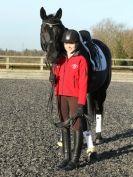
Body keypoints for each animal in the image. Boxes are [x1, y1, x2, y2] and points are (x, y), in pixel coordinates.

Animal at [40, 6, 111, 145]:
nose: (53, 56)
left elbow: (82, 115)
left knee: (98, 110)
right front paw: (62, 139)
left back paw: (98, 137)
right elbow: (63, 114)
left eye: (59, 31)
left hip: (101, 90)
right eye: (43, 30)